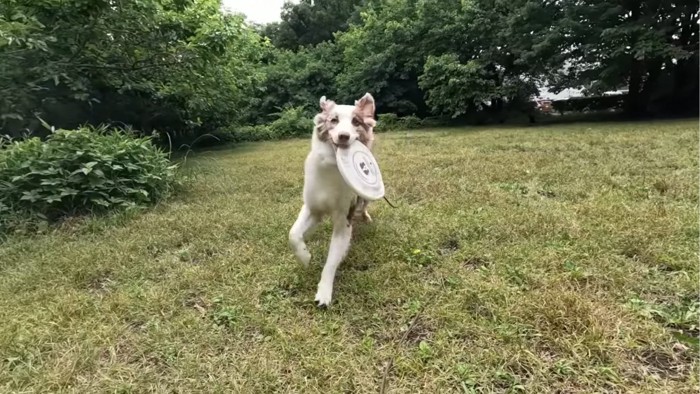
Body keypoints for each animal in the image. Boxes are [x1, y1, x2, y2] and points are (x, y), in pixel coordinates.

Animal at [288, 93, 378, 308]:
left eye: (356, 122)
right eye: (334, 120)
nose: (343, 136)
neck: (333, 166)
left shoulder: (343, 219)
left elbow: (331, 261)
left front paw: (324, 292)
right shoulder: (312, 208)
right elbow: (293, 234)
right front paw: (305, 257)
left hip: (365, 196)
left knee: (364, 205)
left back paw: (365, 216)